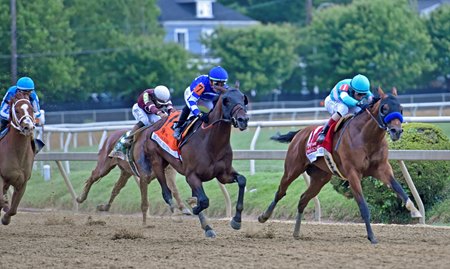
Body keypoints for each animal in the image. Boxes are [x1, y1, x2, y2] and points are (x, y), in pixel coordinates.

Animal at [0, 90, 36, 224]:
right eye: (17, 110)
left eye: (31, 109)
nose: (28, 127)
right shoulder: (1, 177)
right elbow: (2, 201)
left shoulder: (22, 182)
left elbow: (13, 209)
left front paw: (5, 219)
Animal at [142, 86, 250, 237]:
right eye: (226, 100)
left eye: (243, 99)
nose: (243, 119)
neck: (211, 143)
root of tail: (152, 127)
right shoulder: (192, 176)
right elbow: (203, 201)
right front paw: (194, 207)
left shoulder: (224, 175)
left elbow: (242, 180)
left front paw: (236, 220)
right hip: (157, 162)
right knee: (166, 191)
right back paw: (177, 214)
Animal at [256, 87, 422, 243]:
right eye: (384, 108)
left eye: (401, 108)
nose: (396, 131)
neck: (367, 138)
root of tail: (300, 133)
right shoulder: (353, 173)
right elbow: (363, 206)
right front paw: (372, 237)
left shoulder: (382, 169)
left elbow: (399, 188)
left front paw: (414, 210)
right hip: (292, 168)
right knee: (281, 192)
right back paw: (264, 216)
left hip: (320, 178)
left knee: (303, 199)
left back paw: (296, 232)